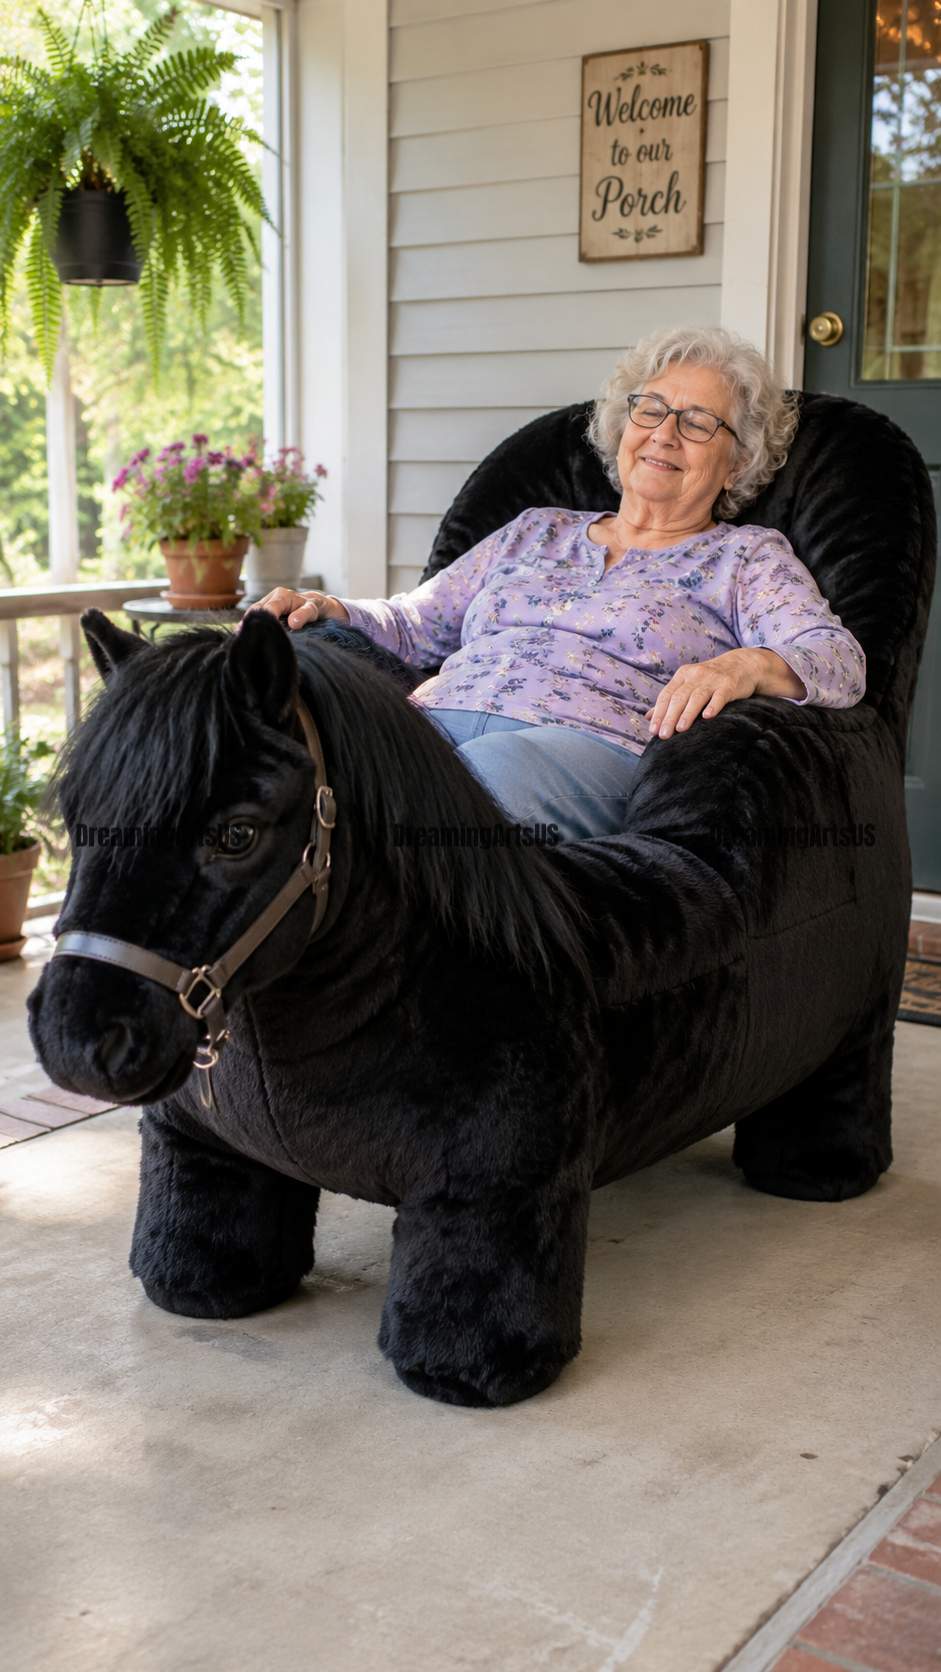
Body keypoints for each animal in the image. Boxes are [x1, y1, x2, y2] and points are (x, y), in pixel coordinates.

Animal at [27, 605, 898, 1407]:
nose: (76, 1039)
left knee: (843, 1080)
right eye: (76, 818)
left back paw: (817, 1170)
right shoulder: (201, 1153)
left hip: (855, 1028)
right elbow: (197, 1257)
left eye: (236, 834)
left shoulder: (490, 1198)